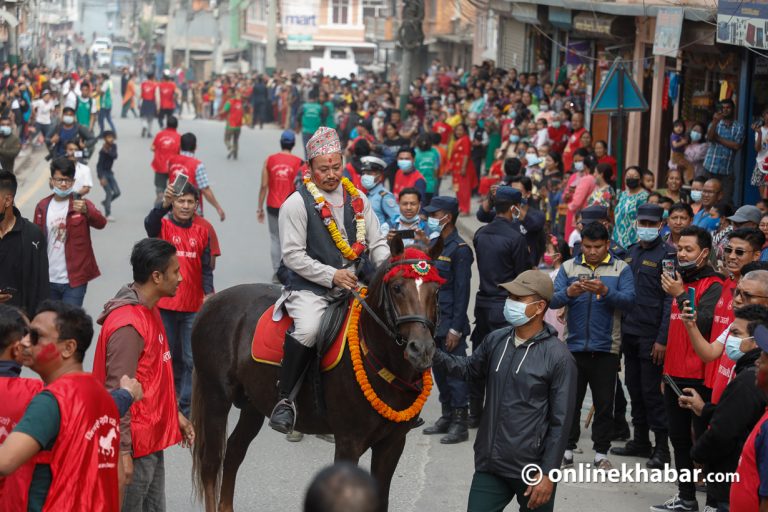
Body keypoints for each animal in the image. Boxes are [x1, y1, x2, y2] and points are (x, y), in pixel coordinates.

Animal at [190, 241, 444, 512]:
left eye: (437, 290)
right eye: (397, 287)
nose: (421, 349)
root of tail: (211, 302)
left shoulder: (392, 444)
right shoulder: (349, 442)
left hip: (253, 405)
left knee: (234, 452)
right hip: (216, 399)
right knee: (211, 463)